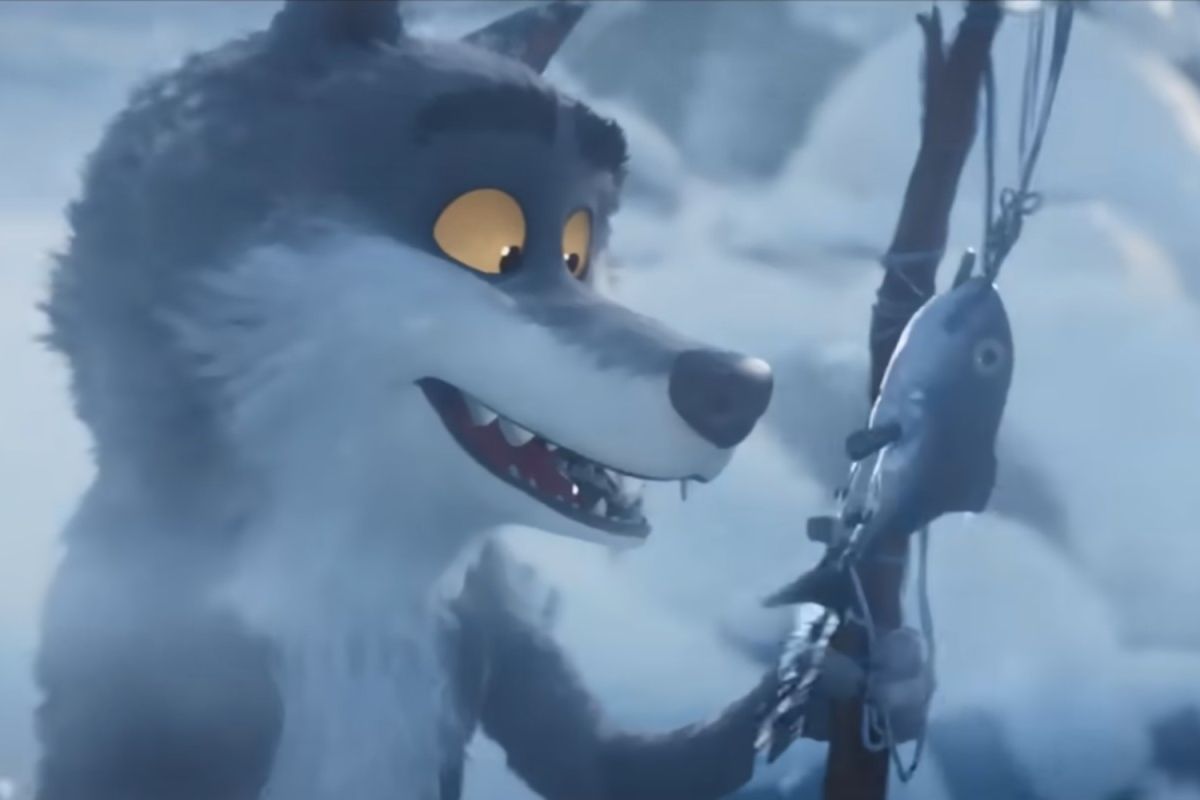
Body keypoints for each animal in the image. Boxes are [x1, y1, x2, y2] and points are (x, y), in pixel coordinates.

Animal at [34, 2, 778, 799]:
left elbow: (612, 766)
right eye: (489, 241)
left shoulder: (487, 618)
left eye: (579, 254)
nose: (744, 386)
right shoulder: (138, 659)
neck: (352, 599)